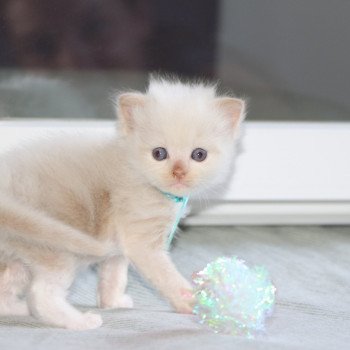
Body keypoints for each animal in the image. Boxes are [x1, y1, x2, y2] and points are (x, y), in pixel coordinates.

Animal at [0, 77, 245, 330]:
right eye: (159, 153)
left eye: (199, 155)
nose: (178, 172)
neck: (136, 171)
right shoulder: (142, 241)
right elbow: (167, 277)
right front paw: (192, 302)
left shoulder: (119, 246)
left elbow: (115, 275)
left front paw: (112, 302)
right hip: (55, 246)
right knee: (41, 295)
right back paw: (80, 321)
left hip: (20, 253)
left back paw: (22, 309)